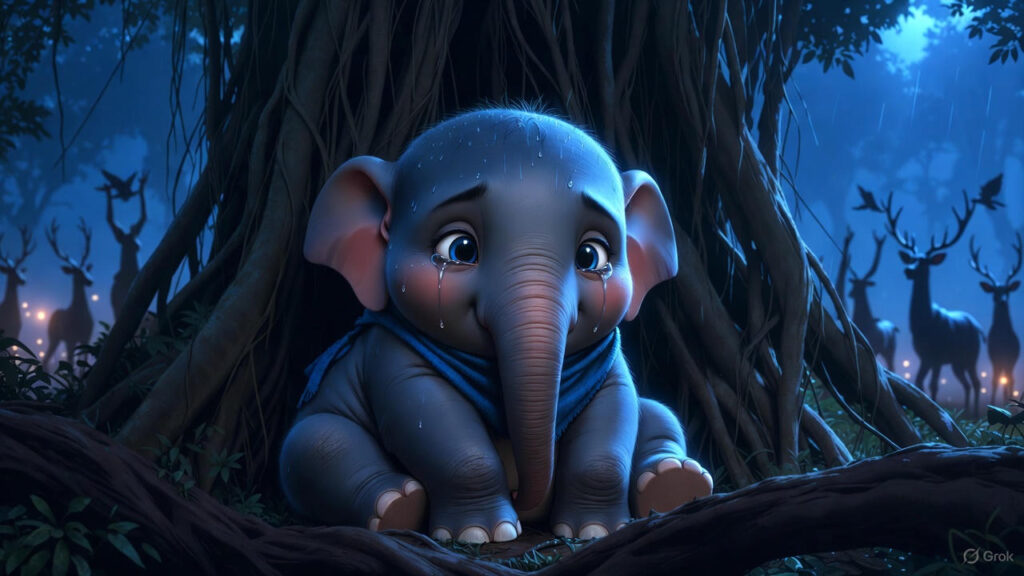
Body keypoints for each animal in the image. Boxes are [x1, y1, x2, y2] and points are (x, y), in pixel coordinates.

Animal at [280, 107, 713, 544]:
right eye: (459, 248)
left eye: (592, 256)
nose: (521, 497)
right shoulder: (387, 355)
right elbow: (428, 418)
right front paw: (483, 534)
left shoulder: (610, 360)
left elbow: (616, 410)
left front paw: (595, 530)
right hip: (314, 436)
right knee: (318, 445)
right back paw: (394, 506)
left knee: (658, 412)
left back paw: (675, 480)